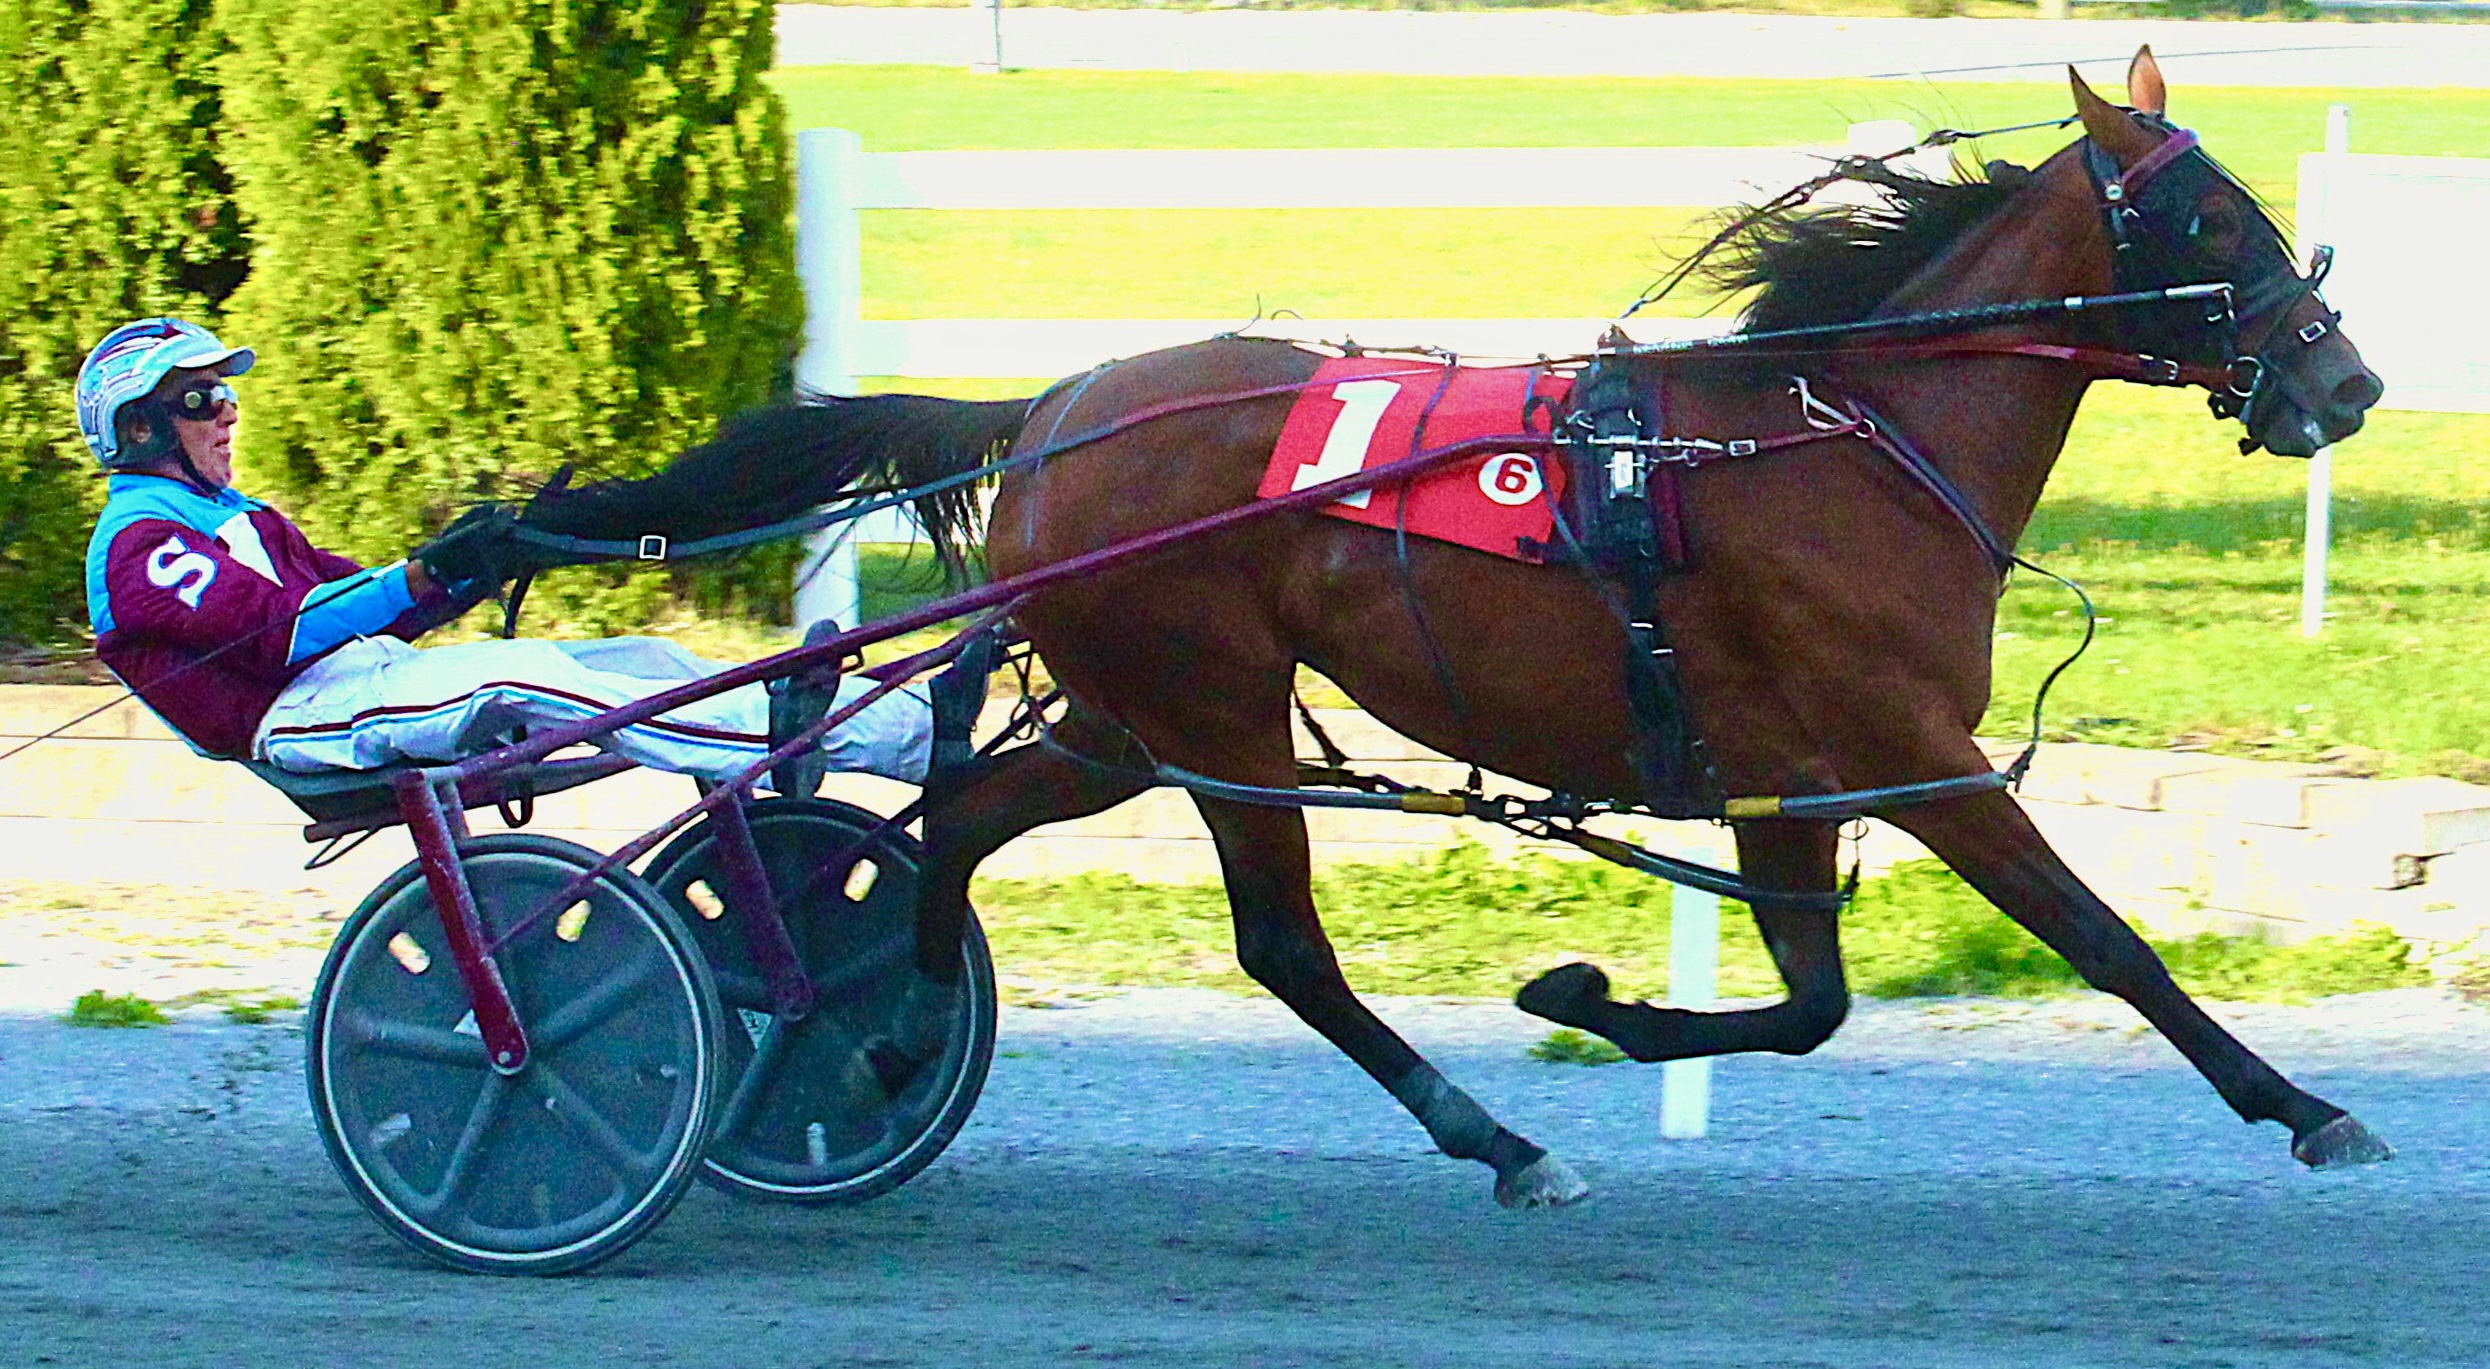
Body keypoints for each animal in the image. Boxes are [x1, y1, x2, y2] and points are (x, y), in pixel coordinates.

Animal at [521, 53, 2391, 1208]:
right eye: (2209, 218)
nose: (2347, 382)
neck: (1839, 437)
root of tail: (1050, 408)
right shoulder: (1911, 752)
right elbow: (2106, 940)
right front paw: (2309, 1108)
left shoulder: (1785, 774)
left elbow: (1812, 1001)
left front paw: (1597, 999)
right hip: (1213, 710)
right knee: (1279, 945)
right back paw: (1489, 1137)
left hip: (1126, 712)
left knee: (957, 818)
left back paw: (894, 1034)